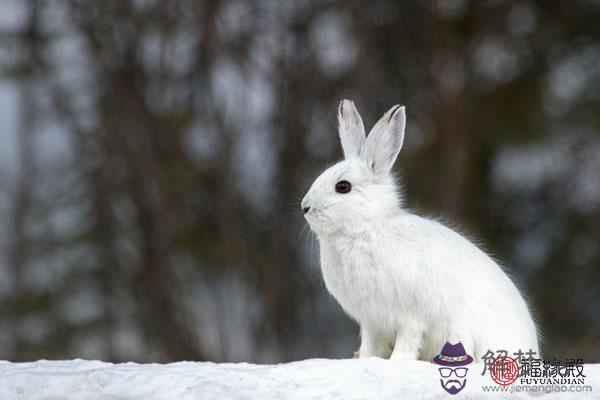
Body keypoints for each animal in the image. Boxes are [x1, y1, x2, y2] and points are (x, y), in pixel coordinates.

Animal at [302, 98, 540, 360]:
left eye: (343, 187)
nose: (305, 207)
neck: (364, 228)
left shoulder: (410, 316)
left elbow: (408, 340)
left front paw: (397, 361)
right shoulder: (372, 323)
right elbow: (370, 346)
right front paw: (364, 359)